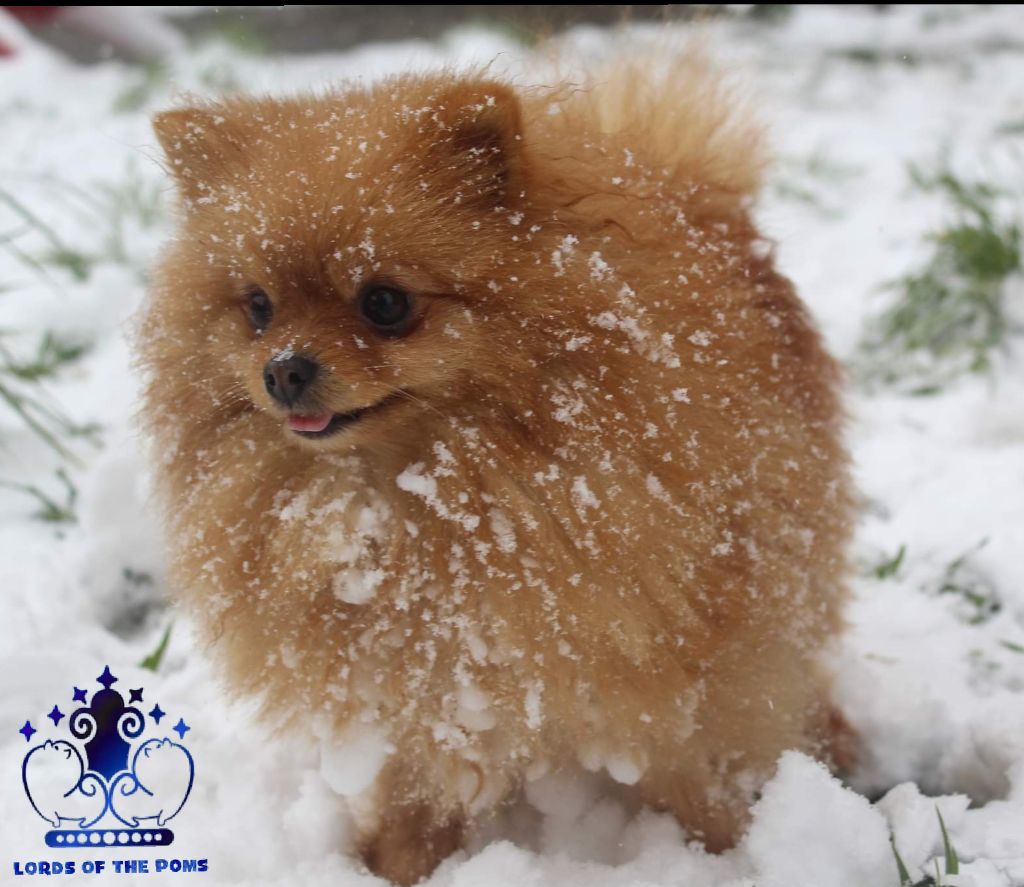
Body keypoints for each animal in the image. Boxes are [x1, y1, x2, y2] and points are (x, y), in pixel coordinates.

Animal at [140, 51, 851, 880]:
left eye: (385, 302)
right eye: (257, 307)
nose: (284, 369)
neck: (416, 498)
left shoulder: (677, 651)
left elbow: (694, 765)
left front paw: (729, 850)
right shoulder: (417, 682)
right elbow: (414, 787)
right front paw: (397, 863)